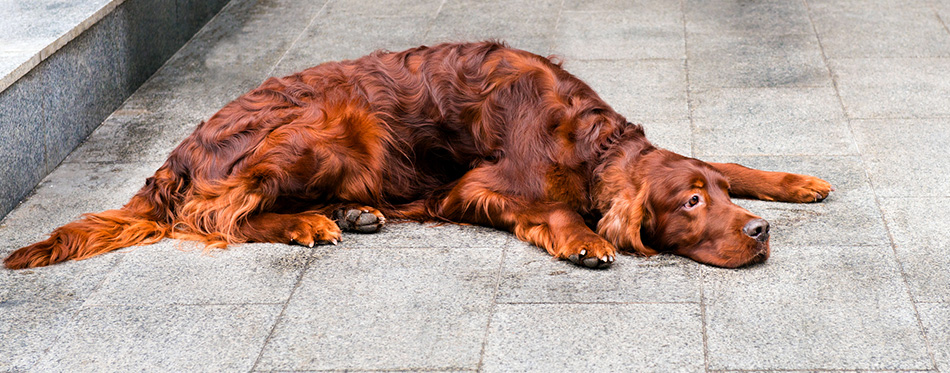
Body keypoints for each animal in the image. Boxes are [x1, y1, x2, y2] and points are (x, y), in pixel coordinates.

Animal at [3, 42, 828, 268]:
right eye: (687, 203)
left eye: (716, 195)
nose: (759, 231)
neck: (582, 134)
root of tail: (175, 153)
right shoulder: (482, 184)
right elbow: (555, 206)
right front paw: (585, 239)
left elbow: (737, 158)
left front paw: (797, 179)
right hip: (336, 120)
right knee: (219, 216)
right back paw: (311, 222)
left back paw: (350, 213)